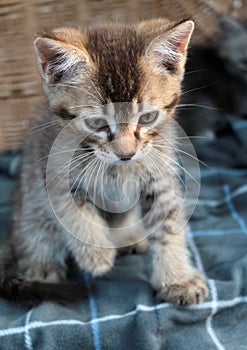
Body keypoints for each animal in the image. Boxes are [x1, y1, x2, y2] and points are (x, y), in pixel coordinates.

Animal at [0, 19, 208, 304]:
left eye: (147, 118)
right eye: (97, 123)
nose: (126, 153)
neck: (116, 168)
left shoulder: (159, 176)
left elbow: (168, 226)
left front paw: (178, 279)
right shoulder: (52, 171)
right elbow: (73, 211)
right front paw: (97, 255)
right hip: (29, 200)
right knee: (33, 230)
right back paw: (40, 262)